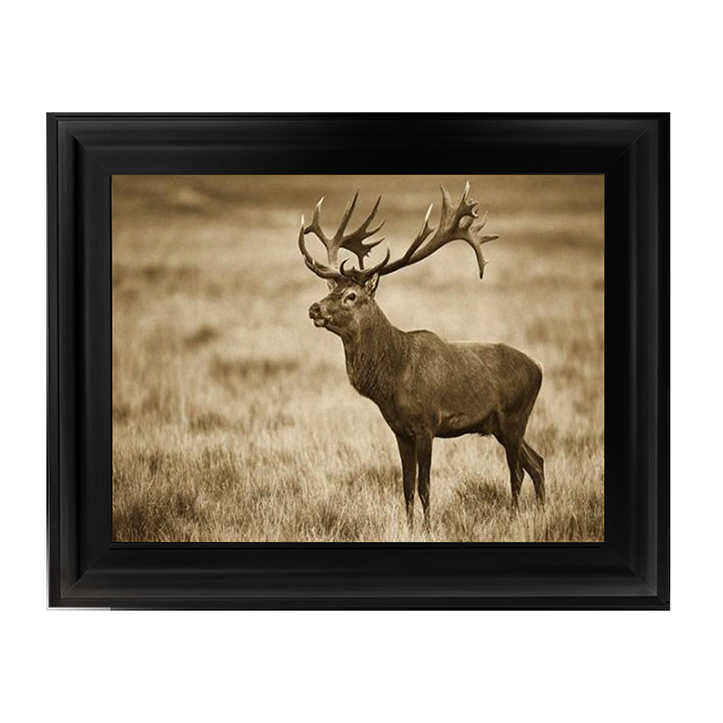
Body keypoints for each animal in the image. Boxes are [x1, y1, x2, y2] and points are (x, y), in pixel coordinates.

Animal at [299, 182, 545, 530]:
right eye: (330, 289)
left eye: (351, 296)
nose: (314, 308)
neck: (392, 377)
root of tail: (539, 368)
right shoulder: (400, 431)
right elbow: (406, 486)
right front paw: (409, 525)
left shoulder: (427, 424)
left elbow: (425, 485)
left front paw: (427, 528)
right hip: (500, 425)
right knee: (537, 462)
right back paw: (542, 512)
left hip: (514, 416)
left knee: (518, 472)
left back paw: (513, 518)